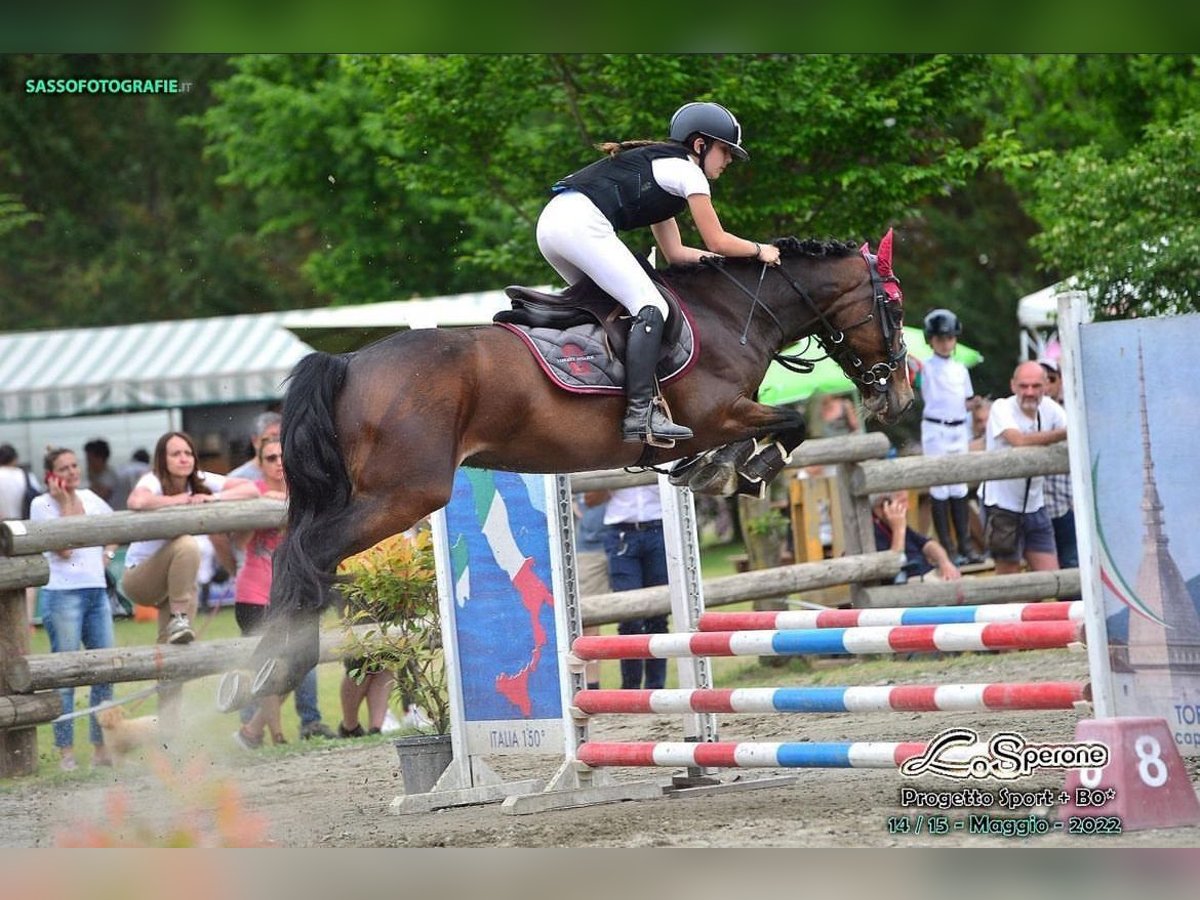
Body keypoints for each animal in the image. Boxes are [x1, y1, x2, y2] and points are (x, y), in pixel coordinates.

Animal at [246, 230, 916, 696]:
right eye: (894, 307)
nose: (900, 397)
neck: (731, 313)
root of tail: (348, 363)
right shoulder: (717, 414)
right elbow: (790, 425)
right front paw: (736, 470)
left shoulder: (726, 417)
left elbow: (772, 431)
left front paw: (716, 470)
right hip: (404, 495)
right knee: (305, 553)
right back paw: (270, 675)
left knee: (297, 552)